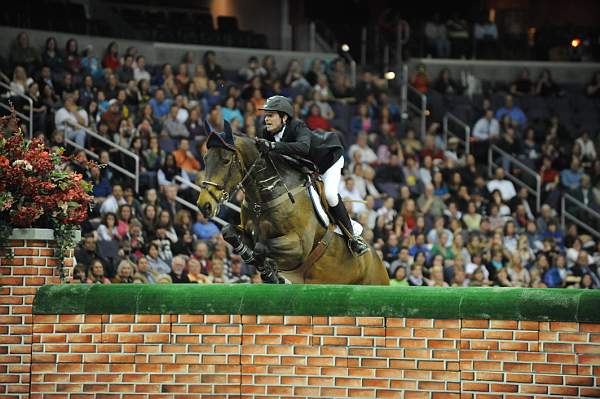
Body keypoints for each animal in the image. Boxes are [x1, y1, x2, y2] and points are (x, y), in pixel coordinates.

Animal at [197, 123, 390, 286]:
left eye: (226, 160)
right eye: (205, 158)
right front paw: (263, 268)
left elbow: (261, 248)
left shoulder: (299, 246)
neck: (267, 194)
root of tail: (378, 261)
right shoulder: (250, 233)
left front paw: (269, 273)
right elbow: (228, 231)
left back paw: (358, 245)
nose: (204, 205)